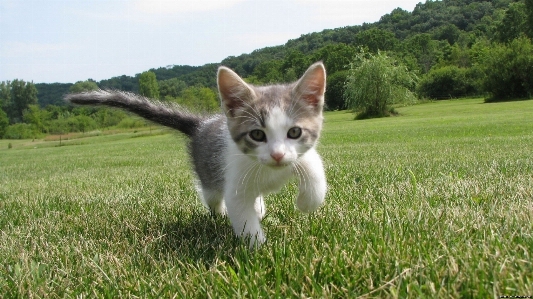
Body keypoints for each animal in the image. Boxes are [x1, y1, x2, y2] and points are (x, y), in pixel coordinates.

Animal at [64, 61, 326, 248]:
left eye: (294, 132)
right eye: (257, 135)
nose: (277, 155)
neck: (271, 171)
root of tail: (201, 124)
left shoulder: (302, 155)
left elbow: (314, 172)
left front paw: (306, 203)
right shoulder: (235, 182)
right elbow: (242, 215)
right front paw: (258, 247)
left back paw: (259, 206)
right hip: (208, 178)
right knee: (212, 198)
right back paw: (222, 213)